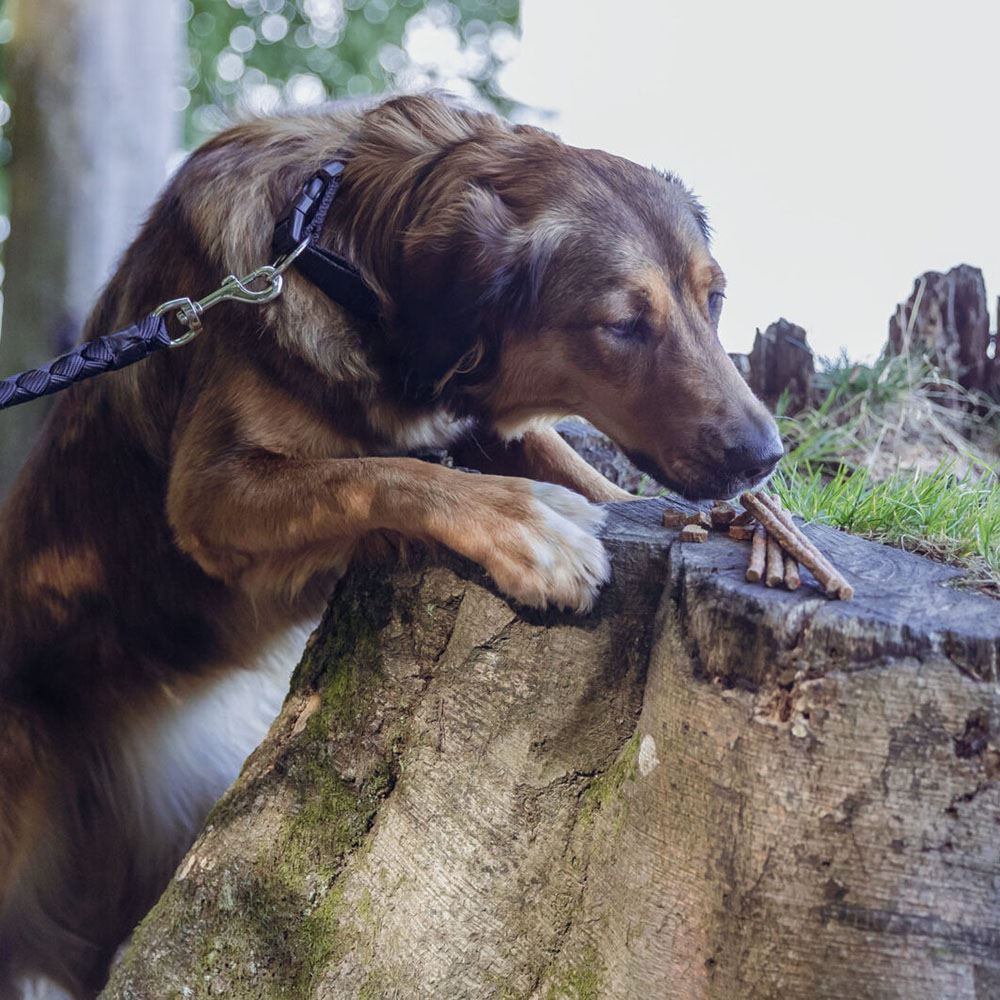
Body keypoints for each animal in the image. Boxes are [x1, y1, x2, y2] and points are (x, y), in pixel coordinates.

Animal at [0, 92, 780, 992]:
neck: (328, 248)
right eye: (622, 324)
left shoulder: (478, 418)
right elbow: (380, 472)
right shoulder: (208, 494)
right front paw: (528, 525)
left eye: (713, 298)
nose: (767, 455)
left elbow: (570, 466)